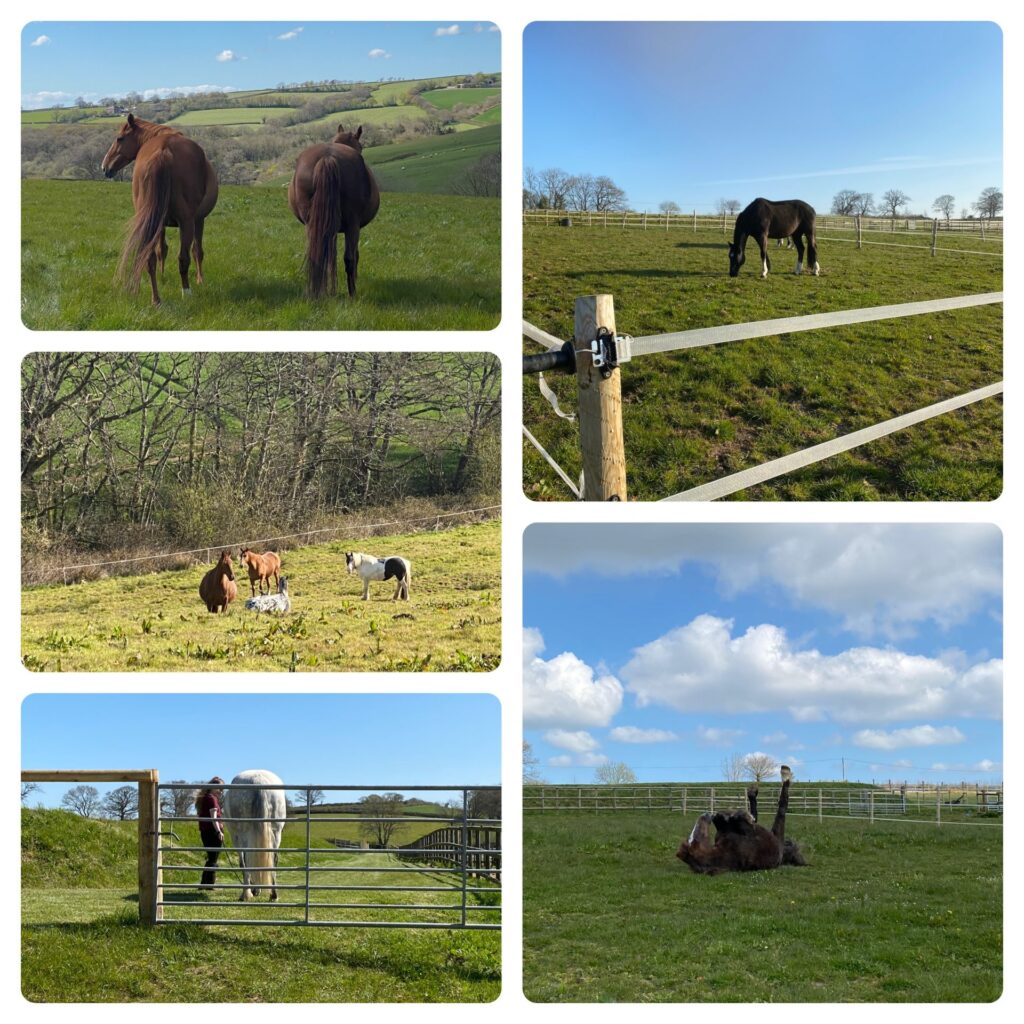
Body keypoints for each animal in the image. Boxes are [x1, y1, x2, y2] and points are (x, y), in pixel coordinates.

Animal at [99, 114, 218, 303]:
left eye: (119, 138)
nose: (105, 167)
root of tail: (163, 151)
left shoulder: (160, 222)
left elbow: (161, 250)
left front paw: (162, 277)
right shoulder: (199, 220)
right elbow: (197, 251)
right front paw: (200, 280)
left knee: (149, 258)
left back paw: (156, 299)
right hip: (187, 222)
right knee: (183, 258)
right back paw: (186, 292)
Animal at [225, 770, 286, 905]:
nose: (256, 891)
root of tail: (259, 781)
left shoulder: (235, 838)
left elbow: (243, 863)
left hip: (242, 835)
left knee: (246, 861)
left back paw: (245, 894)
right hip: (276, 833)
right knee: (274, 859)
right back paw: (274, 895)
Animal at [288, 125, 380, 299]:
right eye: (361, 146)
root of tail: (327, 158)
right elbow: (353, 255)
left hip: (311, 223)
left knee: (316, 255)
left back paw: (317, 292)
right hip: (352, 225)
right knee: (350, 258)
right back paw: (352, 294)